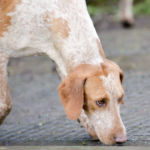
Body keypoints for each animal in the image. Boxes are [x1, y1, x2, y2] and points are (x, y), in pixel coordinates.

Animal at [0, 0, 126, 145]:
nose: (122, 139)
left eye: (120, 98)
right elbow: (5, 106)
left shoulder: (58, 55)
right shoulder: (1, 55)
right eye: (100, 102)